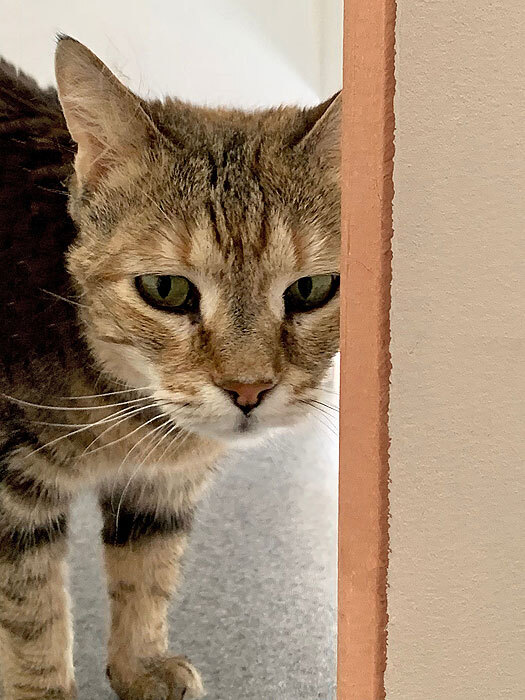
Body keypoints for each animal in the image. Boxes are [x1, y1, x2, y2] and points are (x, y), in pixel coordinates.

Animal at [0, 36, 340, 700]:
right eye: (167, 289)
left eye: (310, 289)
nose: (248, 389)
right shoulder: (12, 491)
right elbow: (33, 618)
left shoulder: (163, 487)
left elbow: (149, 573)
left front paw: (140, 668)